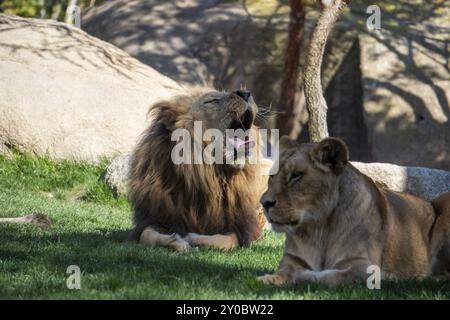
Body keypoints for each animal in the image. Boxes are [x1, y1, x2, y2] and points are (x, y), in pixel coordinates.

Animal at [130, 88, 268, 252]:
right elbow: (147, 235)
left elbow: (225, 241)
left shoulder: (241, 230)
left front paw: (192, 238)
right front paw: (176, 242)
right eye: (212, 100)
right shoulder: (155, 217)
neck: (208, 174)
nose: (245, 93)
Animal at [258, 136, 448, 286]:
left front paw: (302, 276)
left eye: (296, 175)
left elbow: (328, 276)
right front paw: (269, 279)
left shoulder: (364, 267)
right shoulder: (292, 259)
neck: (319, 229)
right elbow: (284, 270)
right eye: (272, 176)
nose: (264, 203)